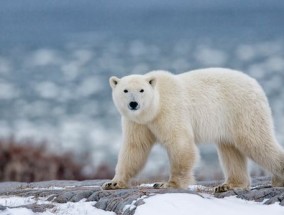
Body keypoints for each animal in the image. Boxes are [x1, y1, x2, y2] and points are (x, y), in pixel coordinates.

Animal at [102, 67, 284, 191]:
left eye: (141, 90)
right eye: (125, 90)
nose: (133, 104)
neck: (154, 108)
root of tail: (255, 84)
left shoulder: (170, 110)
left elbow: (179, 143)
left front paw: (168, 183)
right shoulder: (137, 122)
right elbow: (134, 148)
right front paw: (113, 182)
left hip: (242, 109)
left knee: (256, 141)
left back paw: (278, 178)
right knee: (230, 150)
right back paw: (228, 185)